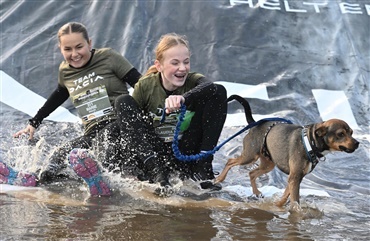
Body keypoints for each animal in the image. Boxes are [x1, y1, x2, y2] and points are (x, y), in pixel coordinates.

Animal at [215, 95, 360, 206]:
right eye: (341, 134)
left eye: (352, 133)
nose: (357, 143)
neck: (310, 143)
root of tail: (255, 123)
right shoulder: (295, 177)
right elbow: (295, 200)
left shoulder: (295, 178)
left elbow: (286, 195)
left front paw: (277, 206)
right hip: (250, 156)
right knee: (230, 161)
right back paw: (219, 179)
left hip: (268, 164)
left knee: (251, 173)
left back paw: (256, 192)